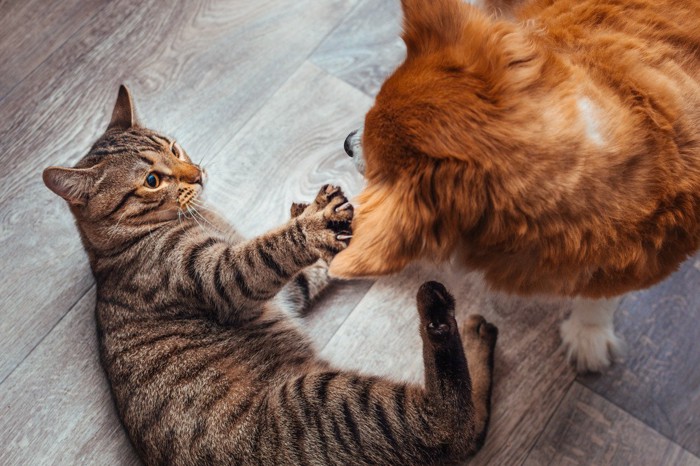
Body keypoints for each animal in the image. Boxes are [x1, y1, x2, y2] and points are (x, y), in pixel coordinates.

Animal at [41, 85, 498, 464]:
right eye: (152, 180)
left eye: (173, 147)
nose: (198, 175)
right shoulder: (218, 276)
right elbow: (269, 249)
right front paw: (313, 225)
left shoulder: (289, 288)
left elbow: (321, 264)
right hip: (326, 401)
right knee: (449, 428)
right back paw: (439, 314)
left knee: (470, 424)